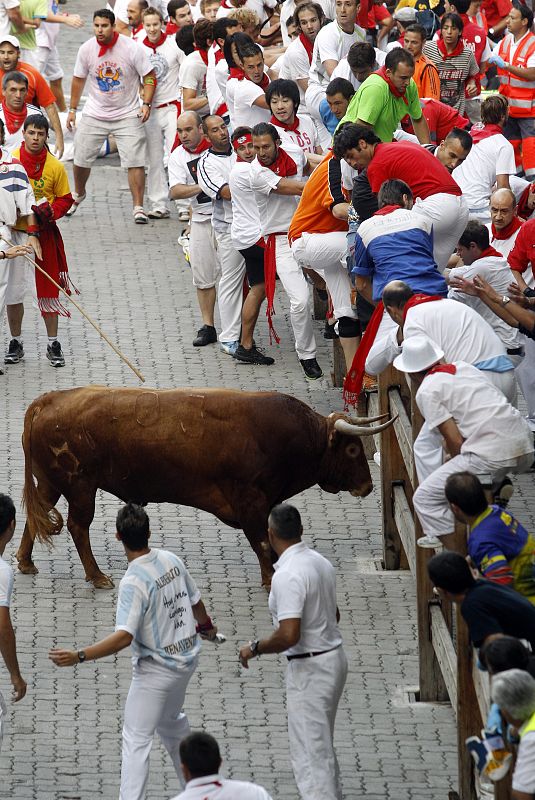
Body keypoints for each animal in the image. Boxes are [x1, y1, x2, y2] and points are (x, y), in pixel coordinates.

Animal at [17, 388, 394, 588]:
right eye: (352, 449)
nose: (367, 486)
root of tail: (48, 399)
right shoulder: (251, 502)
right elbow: (262, 544)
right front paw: (270, 580)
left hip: (50, 484)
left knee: (35, 519)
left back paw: (25, 563)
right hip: (81, 487)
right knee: (78, 527)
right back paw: (97, 577)